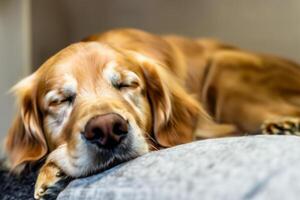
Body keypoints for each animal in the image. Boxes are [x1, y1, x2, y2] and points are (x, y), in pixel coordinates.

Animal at [3, 28, 300, 198]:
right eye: (60, 100)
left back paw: (284, 125)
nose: (107, 129)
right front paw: (49, 175)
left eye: (127, 84)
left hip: (225, 70)